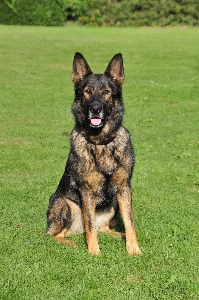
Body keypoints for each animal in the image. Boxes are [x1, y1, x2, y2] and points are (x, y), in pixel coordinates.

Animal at [45, 52, 141, 255]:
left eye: (106, 92)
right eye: (87, 91)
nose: (95, 108)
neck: (101, 142)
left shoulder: (124, 187)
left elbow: (130, 223)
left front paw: (134, 250)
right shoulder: (86, 191)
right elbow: (90, 226)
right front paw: (94, 253)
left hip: (113, 203)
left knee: (103, 228)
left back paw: (118, 235)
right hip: (65, 204)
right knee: (55, 234)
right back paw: (70, 242)